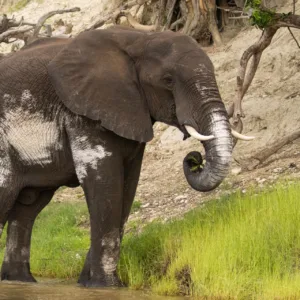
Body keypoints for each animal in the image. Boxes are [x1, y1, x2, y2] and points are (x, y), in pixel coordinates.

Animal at [0, 27, 250, 288]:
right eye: (168, 80)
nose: (194, 159)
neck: (139, 39)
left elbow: (128, 187)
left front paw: (89, 283)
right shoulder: (83, 112)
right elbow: (105, 181)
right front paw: (106, 286)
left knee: (28, 207)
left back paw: (20, 281)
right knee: (6, 194)